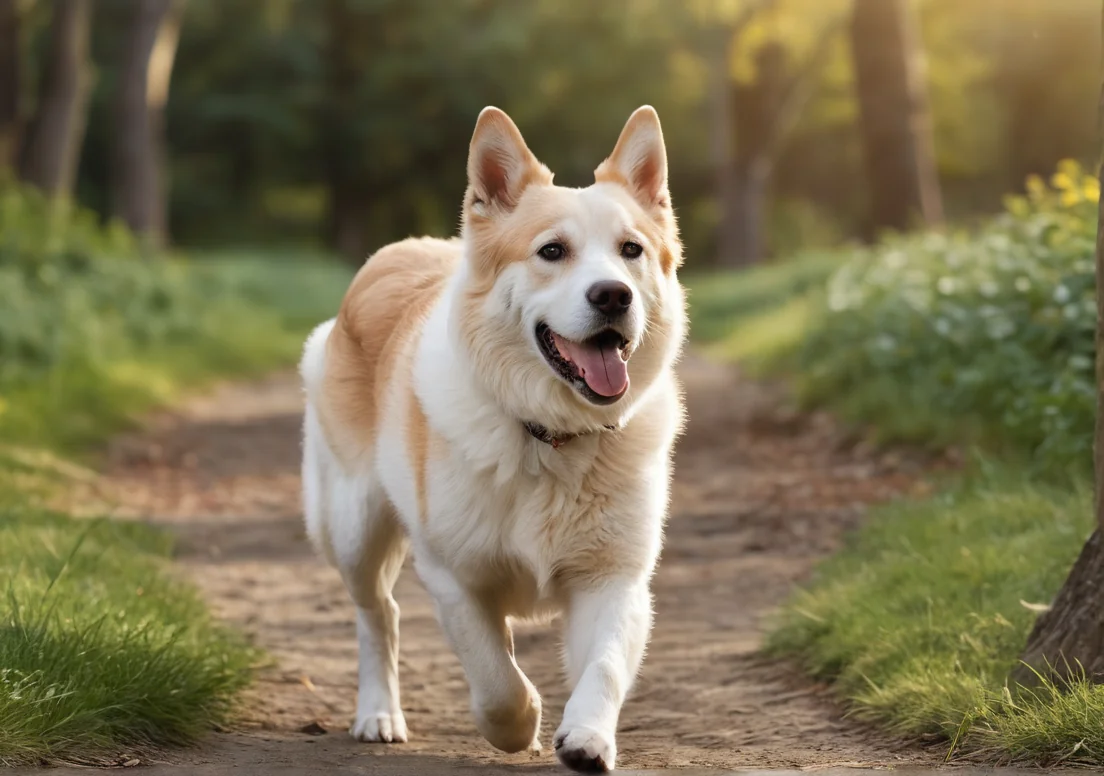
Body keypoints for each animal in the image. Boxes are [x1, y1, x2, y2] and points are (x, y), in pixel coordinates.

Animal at [298, 105, 684, 772]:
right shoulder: (453, 575)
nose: (613, 294)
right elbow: (495, 678)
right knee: (379, 616)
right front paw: (520, 725)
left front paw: (587, 739)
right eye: (552, 251)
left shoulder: (613, 578)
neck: (549, 434)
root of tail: (402, 249)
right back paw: (378, 714)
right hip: (353, 528)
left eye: (630, 250)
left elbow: (604, 667)